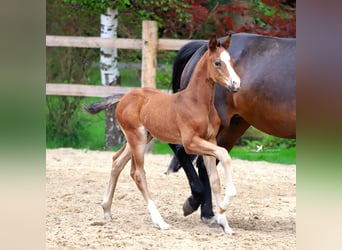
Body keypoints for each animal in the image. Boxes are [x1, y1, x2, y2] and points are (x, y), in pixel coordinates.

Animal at [84, 35, 242, 234]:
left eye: (232, 61)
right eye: (217, 62)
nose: (236, 84)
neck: (197, 103)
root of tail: (125, 97)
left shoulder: (210, 139)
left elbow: (214, 179)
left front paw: (224, 221)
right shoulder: (190, 142)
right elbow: (224, 154)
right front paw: (226, 202)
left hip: (142, 137)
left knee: (117, 161)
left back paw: (106, 210)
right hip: (137, 138)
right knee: (138, 173)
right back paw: (160, 221)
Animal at [167, 32, 296, 223]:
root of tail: (202, 47)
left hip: (233, 126)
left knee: (206, 163)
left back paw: (208, 213)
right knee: (182, 150)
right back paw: (196, 202)